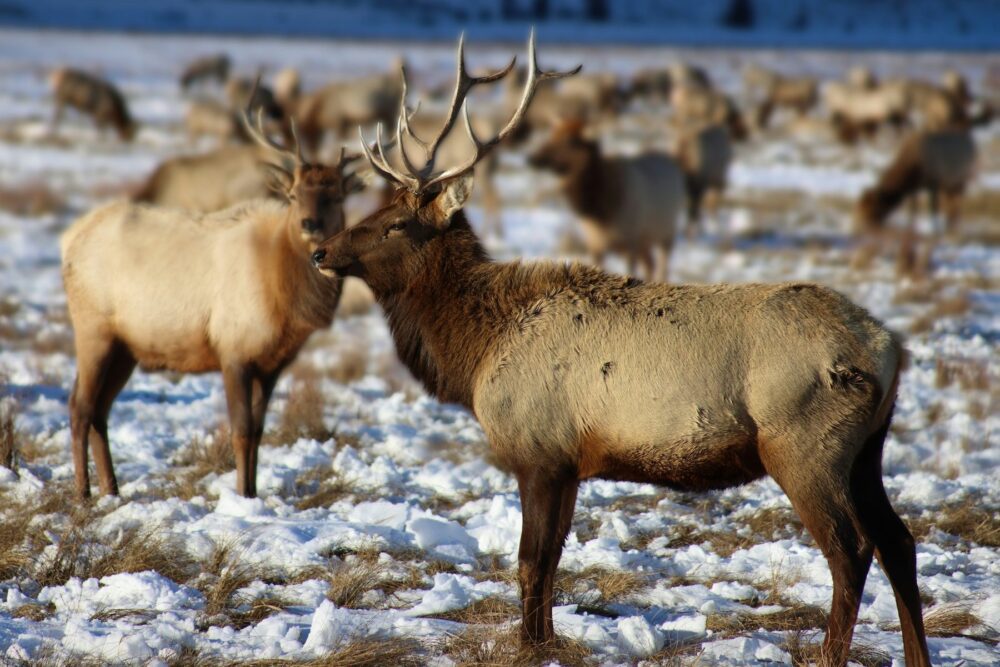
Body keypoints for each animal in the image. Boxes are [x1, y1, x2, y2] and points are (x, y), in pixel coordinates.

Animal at [61, 103, 365, 500]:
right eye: (294, 194)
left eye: (337, 196)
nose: (310, 224)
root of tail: (68, 240)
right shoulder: (232, 349)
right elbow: (241, 429)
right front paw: (241, 494)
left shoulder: (273, 363)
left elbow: (259, 431)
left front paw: (252, 491)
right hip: (93, 328)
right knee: (80, 407)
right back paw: (83, 494)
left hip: (126, 347)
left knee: (99, 409)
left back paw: (112, 490)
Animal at [528, 118, 684, 280]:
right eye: (552, 135)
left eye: (572, 141)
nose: (532, 158)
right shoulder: (596, 245)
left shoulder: (630, 242)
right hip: (645, 240)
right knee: (650, 264)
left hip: (667, 234)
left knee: (662, 267)